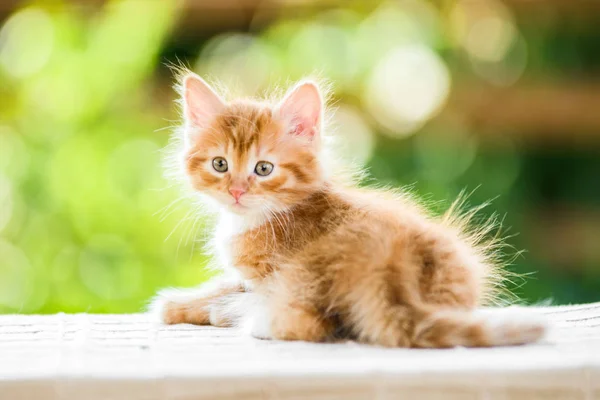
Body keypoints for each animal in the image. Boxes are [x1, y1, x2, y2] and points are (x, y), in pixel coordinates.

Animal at [148, 71, 548, 346]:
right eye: (220, 164)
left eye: (263, 169)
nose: (236, 191)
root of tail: (392, 263)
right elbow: (225, 285)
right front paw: (181, 303)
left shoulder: (266, 275)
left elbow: (239, 289)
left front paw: (204, 305)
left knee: (311, 324)